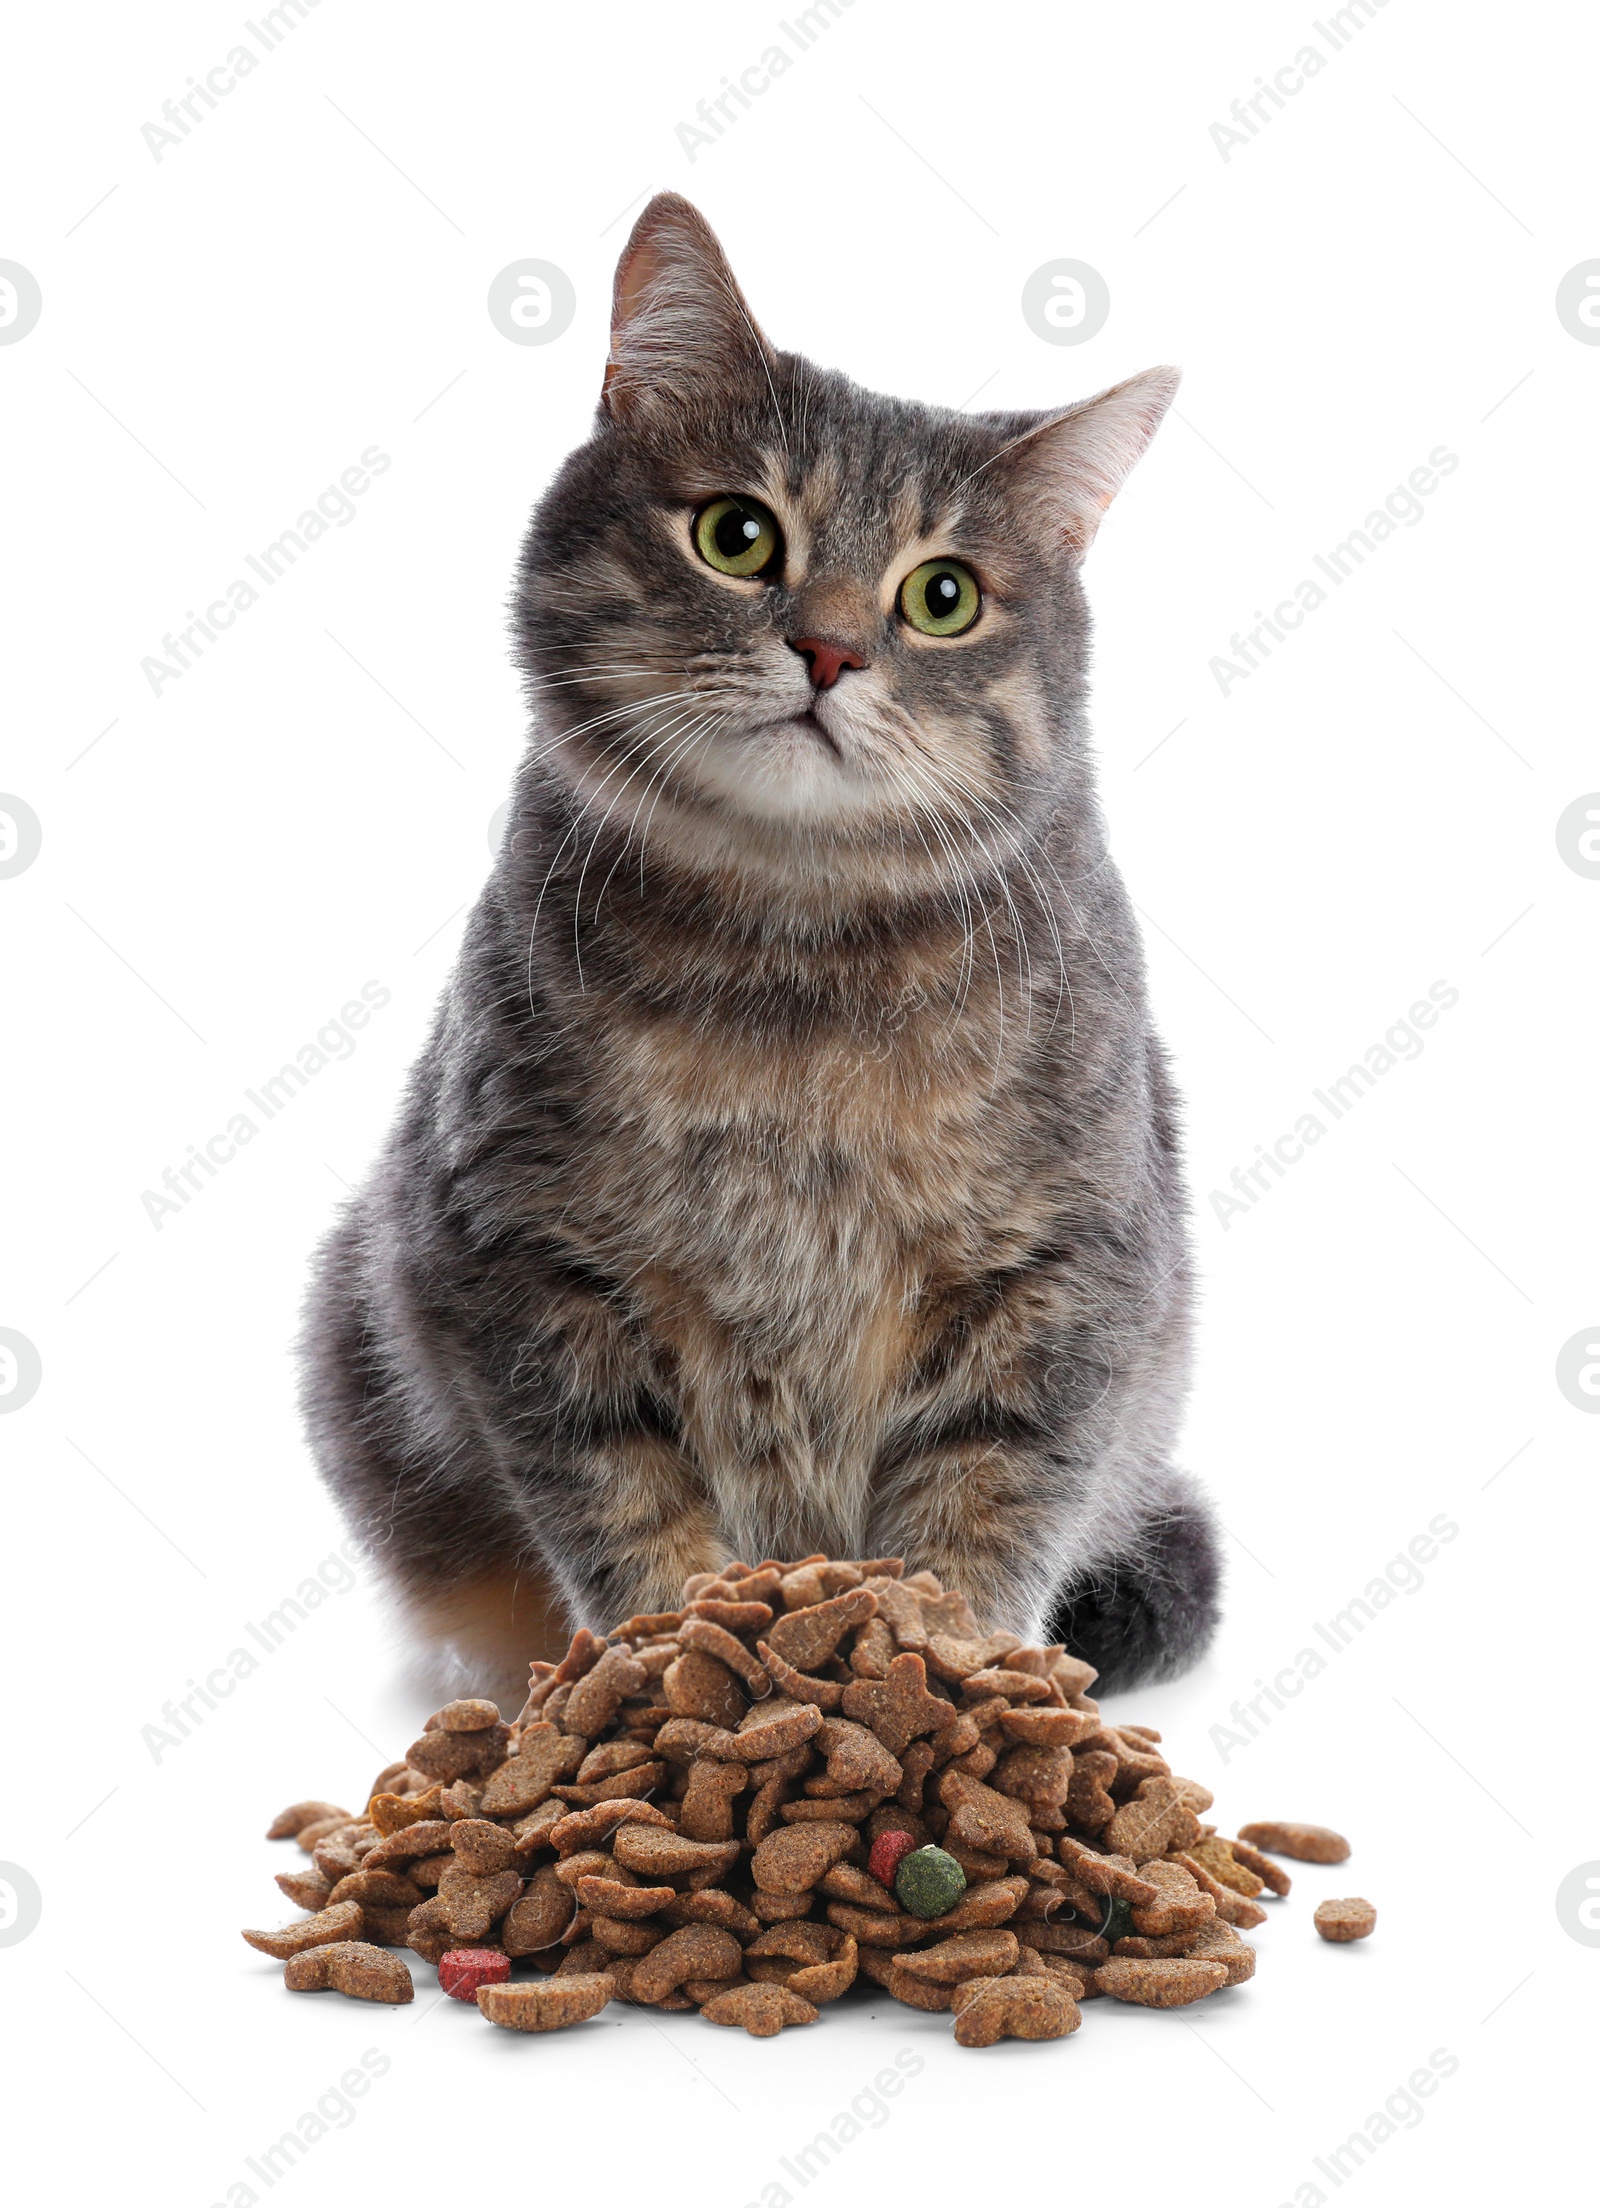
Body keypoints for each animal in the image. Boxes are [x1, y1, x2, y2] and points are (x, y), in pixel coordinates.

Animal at [300, 198, 1218, 1695]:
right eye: (737, 535)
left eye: (944, 596)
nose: (829, 650)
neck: (797, 970)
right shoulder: (522, 1255)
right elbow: (624, 1507)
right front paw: (663, 1664)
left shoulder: (1066, 1281)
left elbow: (985, 1513)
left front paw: (945, 1671)